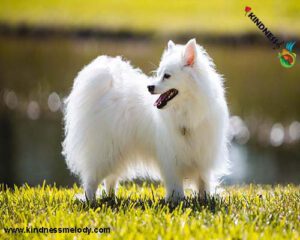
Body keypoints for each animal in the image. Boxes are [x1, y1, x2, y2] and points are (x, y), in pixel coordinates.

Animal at [63, 38, 230, 202]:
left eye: (167, 76)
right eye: (158, 74)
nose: (149, 87)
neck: (186, 111)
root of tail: (107, 87)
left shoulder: (202, 158)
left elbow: (203, 182)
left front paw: (205, 200)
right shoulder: (171, 159)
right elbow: (176, 186)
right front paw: (177, 201)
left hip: (117, 151)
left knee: (110, 179)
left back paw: (111, 198)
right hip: (105, 151)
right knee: (92, 180)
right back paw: (91, 200)